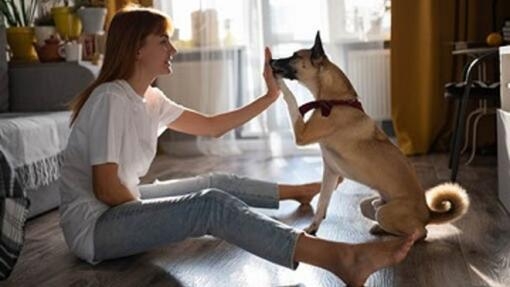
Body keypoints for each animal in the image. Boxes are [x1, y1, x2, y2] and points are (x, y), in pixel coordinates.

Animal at [270, 31, 470, 241]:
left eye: (294, 56)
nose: (271, 61)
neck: (336, 100)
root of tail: (427, 213)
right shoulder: (330, 172)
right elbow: (321, 204)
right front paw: (312, 228)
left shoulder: (302, 134)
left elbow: (291, 99)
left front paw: (277, 82)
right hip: (371, 204)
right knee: (377, 210)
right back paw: (379, 228)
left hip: (386, 213)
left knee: (420, 232)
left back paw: (398, 235)